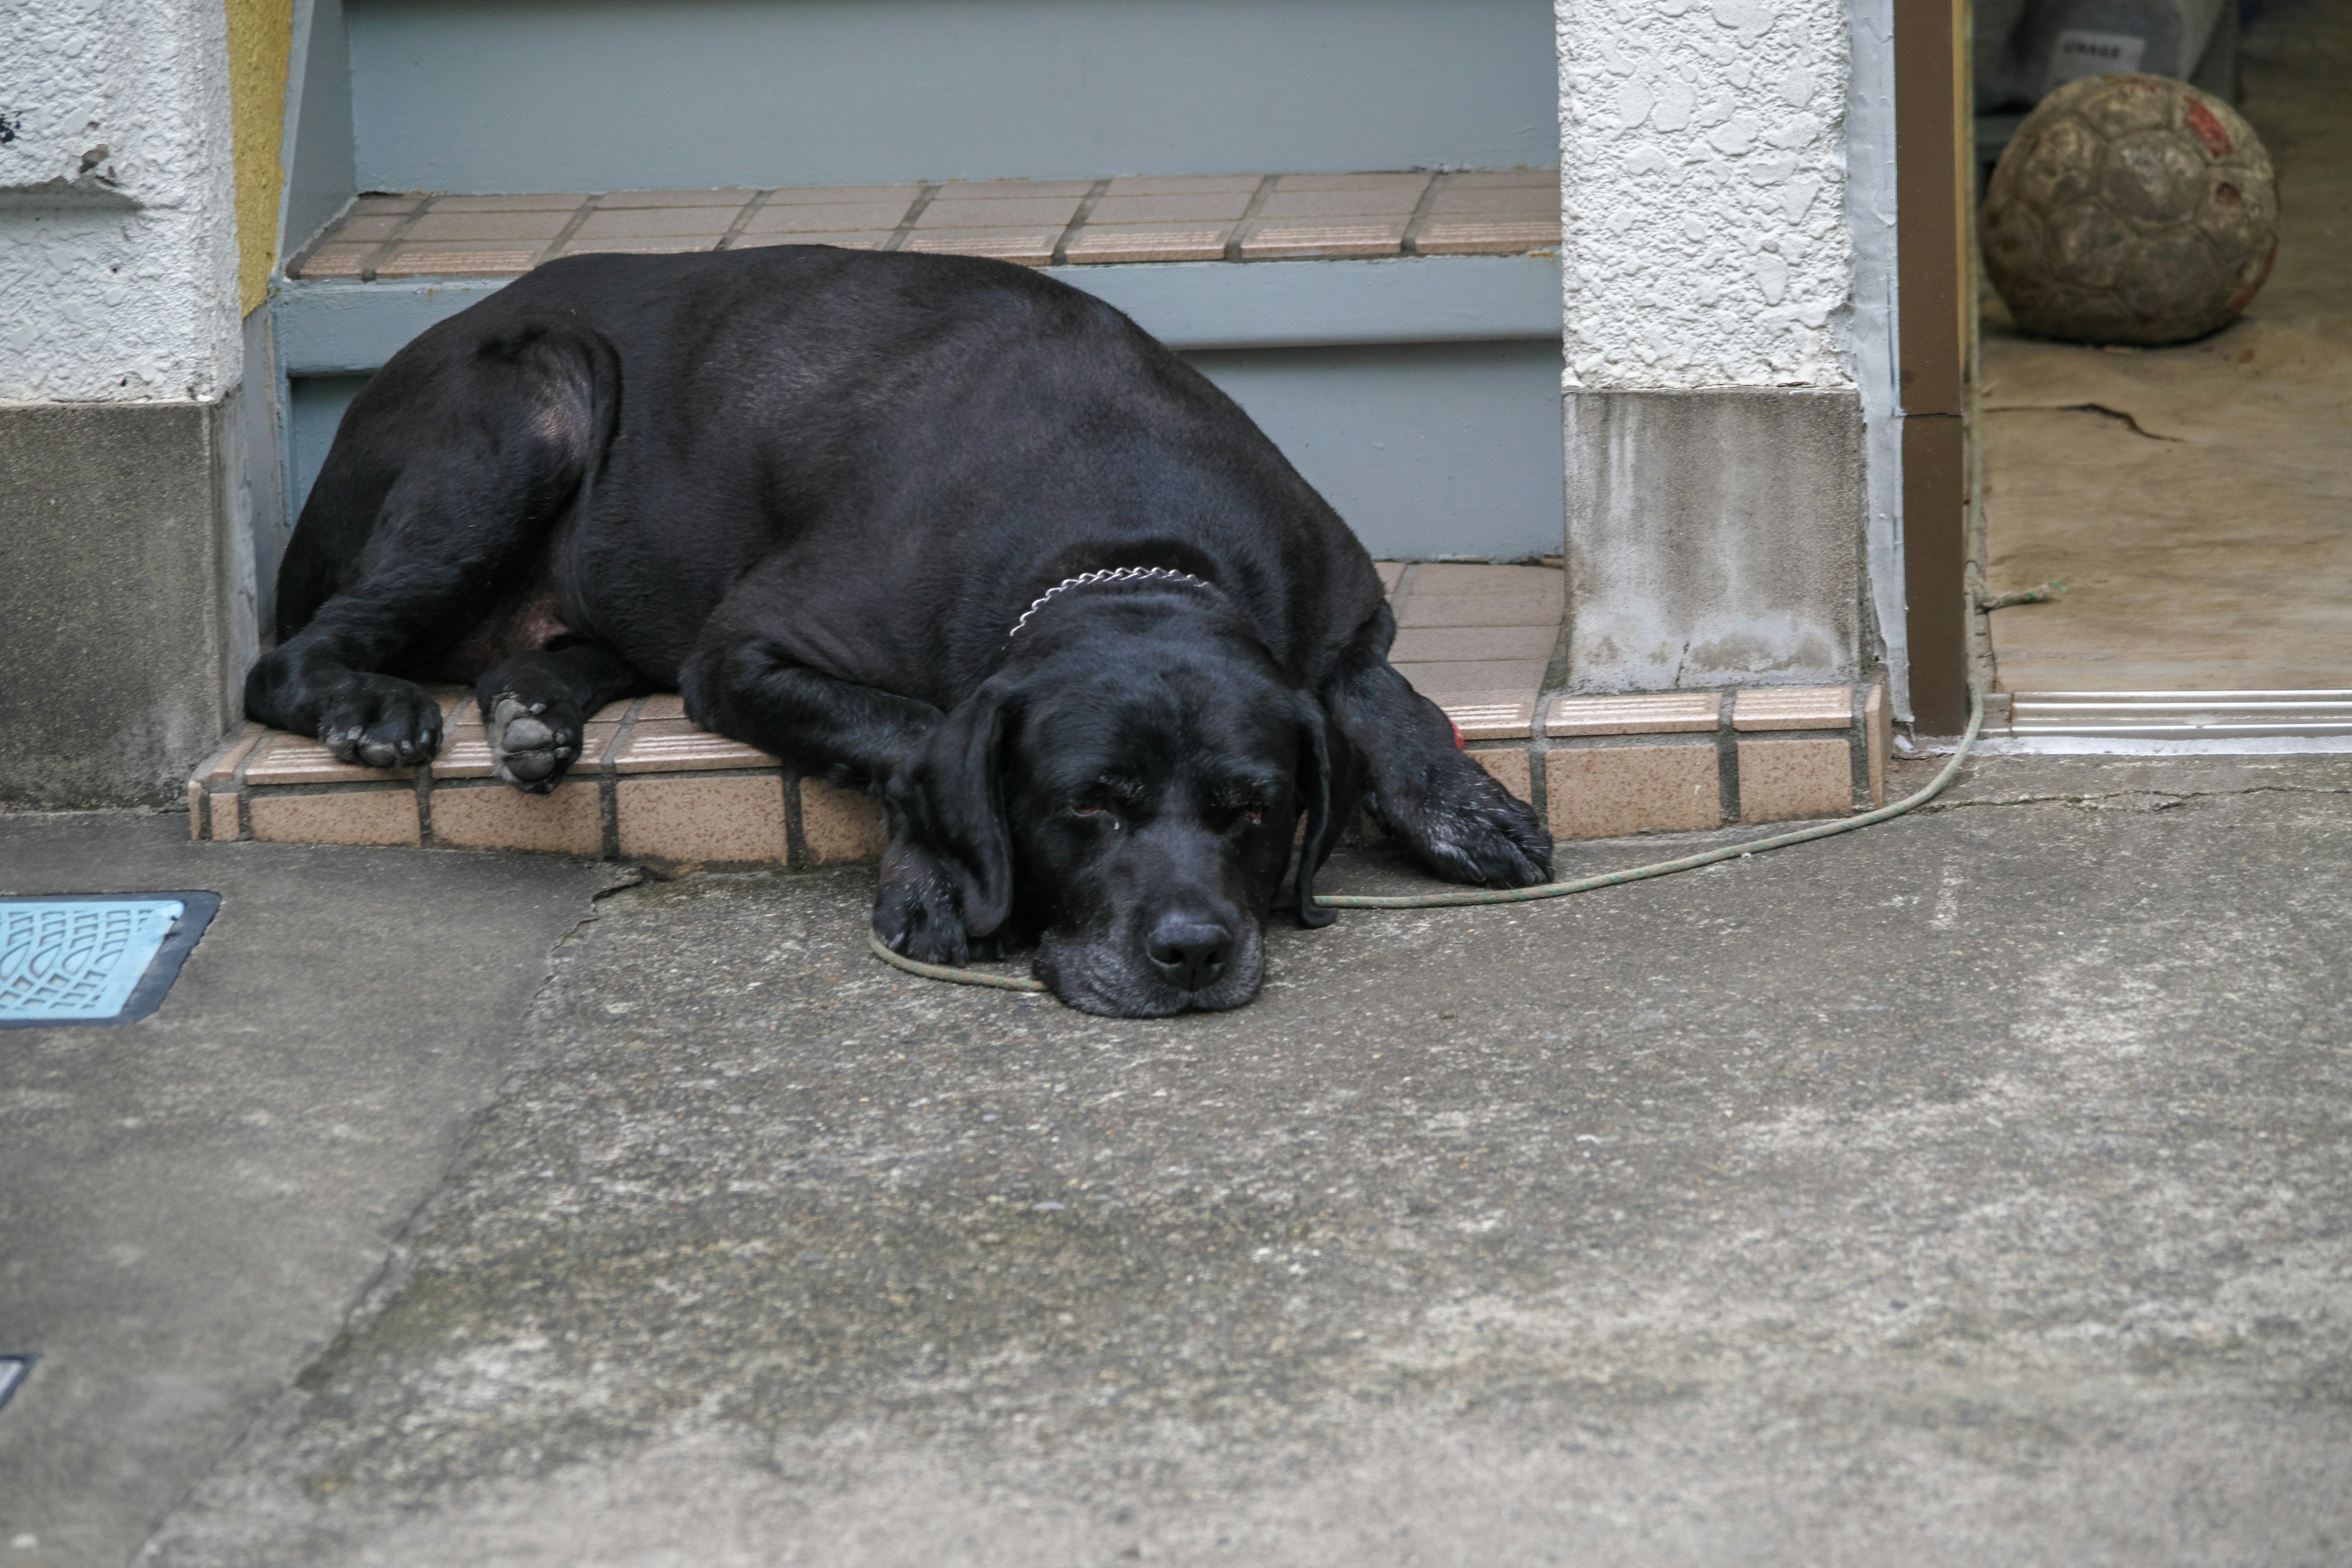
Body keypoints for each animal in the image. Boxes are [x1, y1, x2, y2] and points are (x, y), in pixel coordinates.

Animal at [248, 241, 1552, 1011]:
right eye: (1088, 807)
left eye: (1254, 809)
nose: (1190, 953)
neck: (1131, 549)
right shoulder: (745, 652)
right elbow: (916, 731)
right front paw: (935, 876)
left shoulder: (1337, 605)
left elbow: (1379, 696)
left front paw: (1462, 800)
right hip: (541, 401)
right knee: (282, 662)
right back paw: (368, 706)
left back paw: (531, 708)